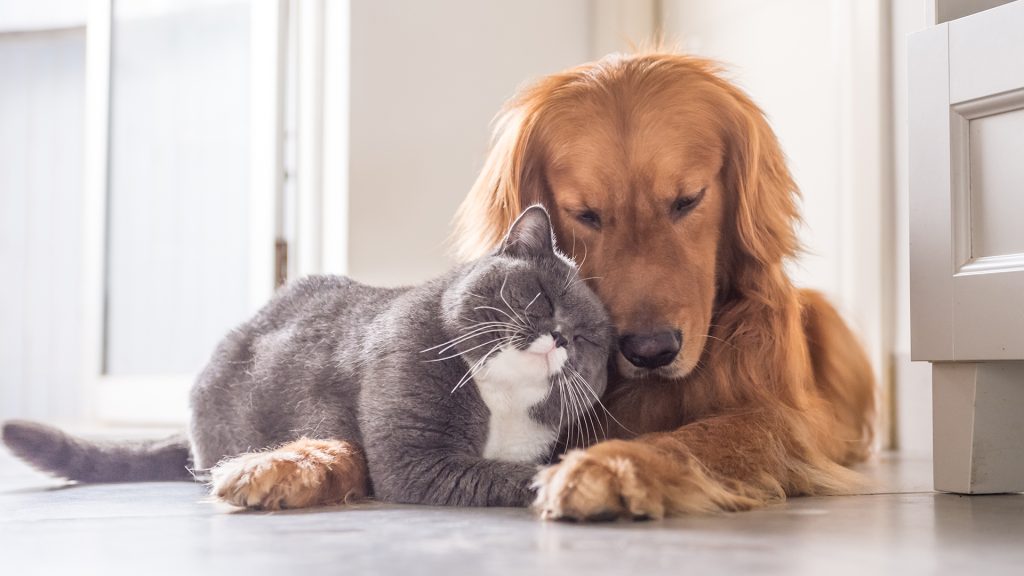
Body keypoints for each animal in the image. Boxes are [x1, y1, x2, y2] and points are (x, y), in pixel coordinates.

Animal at [2, 204, 606, 506]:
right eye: (541, 297)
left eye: (588, 340)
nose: (559, 337)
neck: (500, 402)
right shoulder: (415, 458)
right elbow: (501, 473)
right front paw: (560, 481)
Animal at [458, 53, 880, 518]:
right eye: (586, 215)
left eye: (688, 200)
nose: (651, 351)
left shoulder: (778, 417)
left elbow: (696, 438)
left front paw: (610, 466)